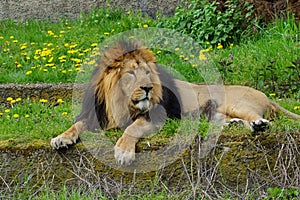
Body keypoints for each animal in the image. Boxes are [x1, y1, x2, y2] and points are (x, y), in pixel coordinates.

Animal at [50, 39, 298, 165]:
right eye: (131, 73)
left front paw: (123, 152)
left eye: (147, 72)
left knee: (255, 117)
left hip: (236, 103)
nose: (148, 88)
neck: (120, 103)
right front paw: (61, 138)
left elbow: (132, 128)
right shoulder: (98, 116)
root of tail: (268, 97)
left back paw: (259, 124)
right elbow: (77, 124)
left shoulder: (157, 118)